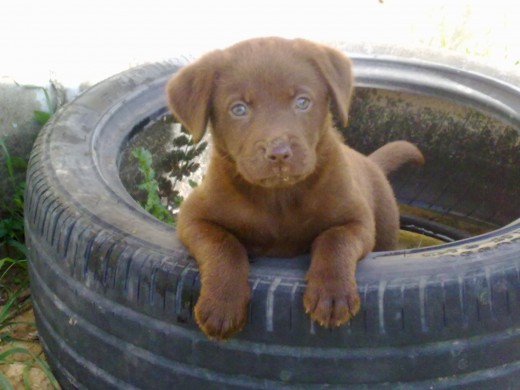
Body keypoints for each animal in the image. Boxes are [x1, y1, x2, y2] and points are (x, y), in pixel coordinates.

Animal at [167, 37, 422, 342]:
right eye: (238, 109)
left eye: (302, 102)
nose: (278, 152)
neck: (279, 198)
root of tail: (370, 161)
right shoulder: (192, 216)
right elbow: (224, 245)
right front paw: (222, 304)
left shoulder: (357, 220)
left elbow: (335, 238)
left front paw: (332, 294)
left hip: (383, 228)